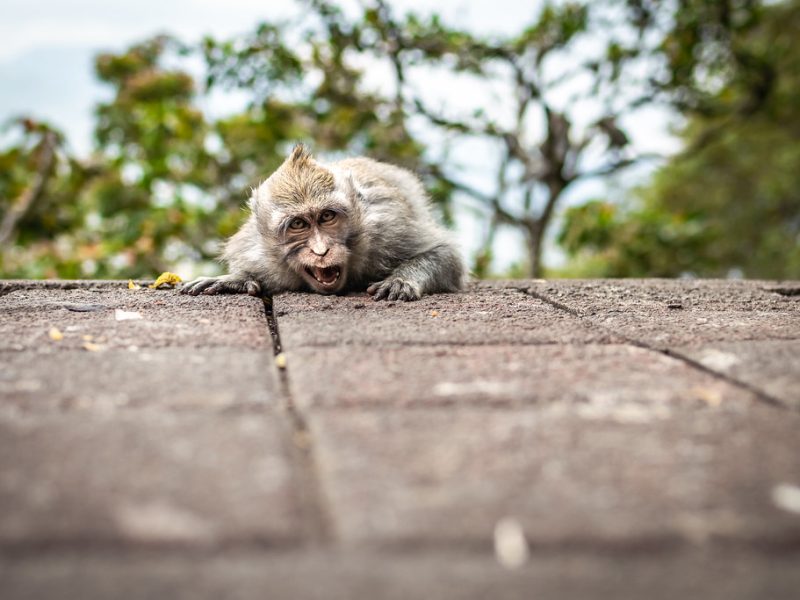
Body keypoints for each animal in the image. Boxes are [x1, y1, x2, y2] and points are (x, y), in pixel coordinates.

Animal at [180, 145, 465, 301]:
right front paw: (235, 280)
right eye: (298, 224)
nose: (321, 250)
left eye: (327, 217)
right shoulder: (256, 253)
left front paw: (401, 280)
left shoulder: (389, 229)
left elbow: (445, 255)